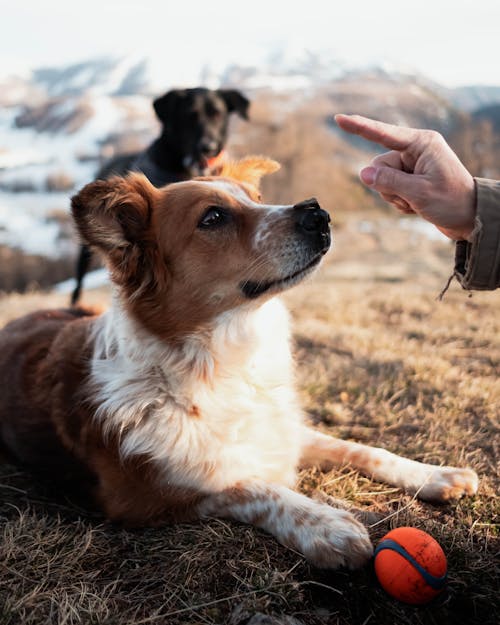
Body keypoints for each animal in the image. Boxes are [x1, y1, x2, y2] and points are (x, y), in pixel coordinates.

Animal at [0, 158, 478, 568]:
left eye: (256, 198)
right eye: (213, 217)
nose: (318, 214)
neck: (221, 363)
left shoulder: (283, 431)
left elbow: (360, 448)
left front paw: (435, 474)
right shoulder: (144, 494)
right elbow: (247, 486)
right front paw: (324, 525)